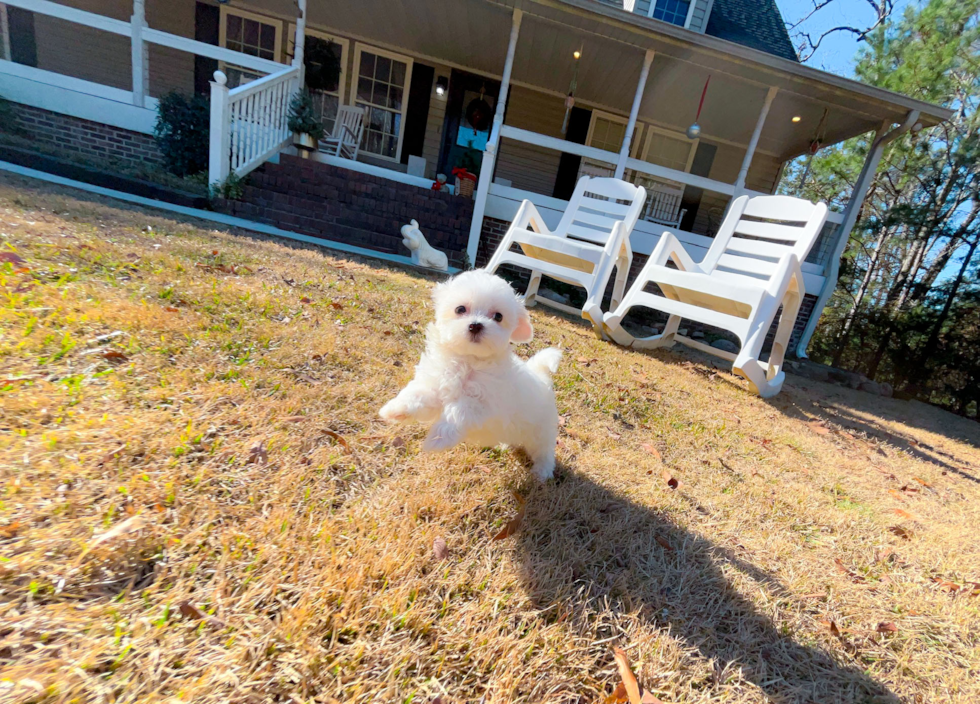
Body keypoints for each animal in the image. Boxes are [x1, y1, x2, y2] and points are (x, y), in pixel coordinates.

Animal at [384, 268, 568, 478]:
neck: (469, 360)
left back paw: (542, 473)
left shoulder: (485, 404)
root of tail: (542, 376)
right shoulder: (437, 382)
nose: (476, 325)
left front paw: (437, 439)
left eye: (498, 316)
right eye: (460, 309)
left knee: (544, 452)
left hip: (541, 432)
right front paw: (395, 409)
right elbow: (418, 395)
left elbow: (459, 410)